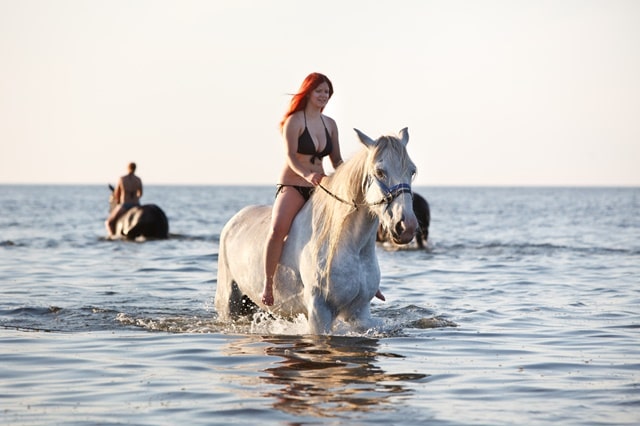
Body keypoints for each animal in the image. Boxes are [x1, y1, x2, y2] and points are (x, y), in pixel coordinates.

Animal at [215, 128, 418, 334]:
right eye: (379, 172)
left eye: (412, 171)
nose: (406, 227)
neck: (351, 247)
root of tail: (234, 221)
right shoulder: (319, 311)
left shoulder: (359, 311)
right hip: (230, 305)